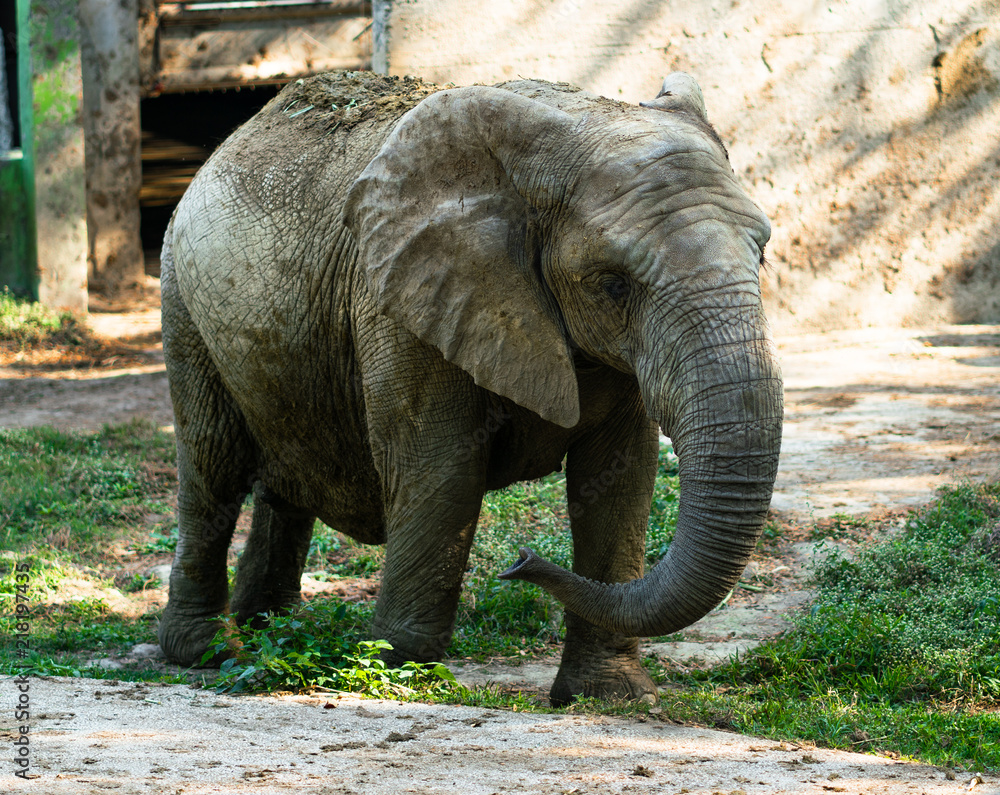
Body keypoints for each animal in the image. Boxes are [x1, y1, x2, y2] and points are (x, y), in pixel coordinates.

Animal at [157, 69, 783, 706]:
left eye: (761, 254)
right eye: (613, 283)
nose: (520, 561)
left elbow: (621, 476)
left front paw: (607, 697)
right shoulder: (400, 301)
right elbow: (443, 469)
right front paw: (399, 672)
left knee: (282, 482)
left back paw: (271, 631)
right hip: (181, 297)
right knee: (212, 464)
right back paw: (209, 652)